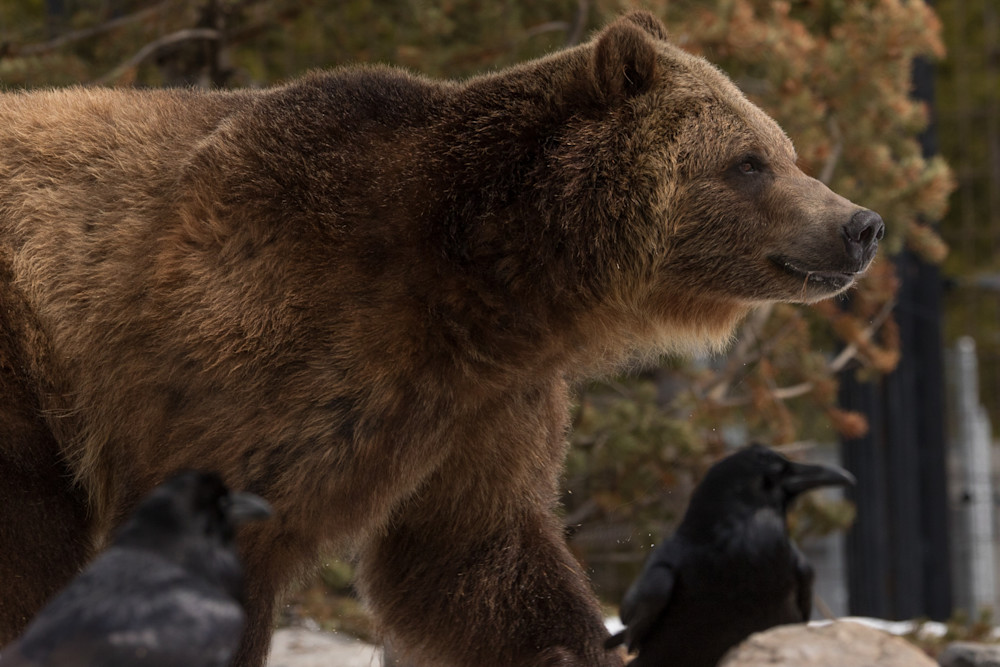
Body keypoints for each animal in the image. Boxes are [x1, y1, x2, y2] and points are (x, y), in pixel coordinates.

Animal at [0, 11, 882, 667]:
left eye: (787, 151)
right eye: (749, 161)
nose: (860, 224)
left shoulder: (481, 405)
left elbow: (481, 555)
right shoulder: (253, 347)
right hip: (27, 365)